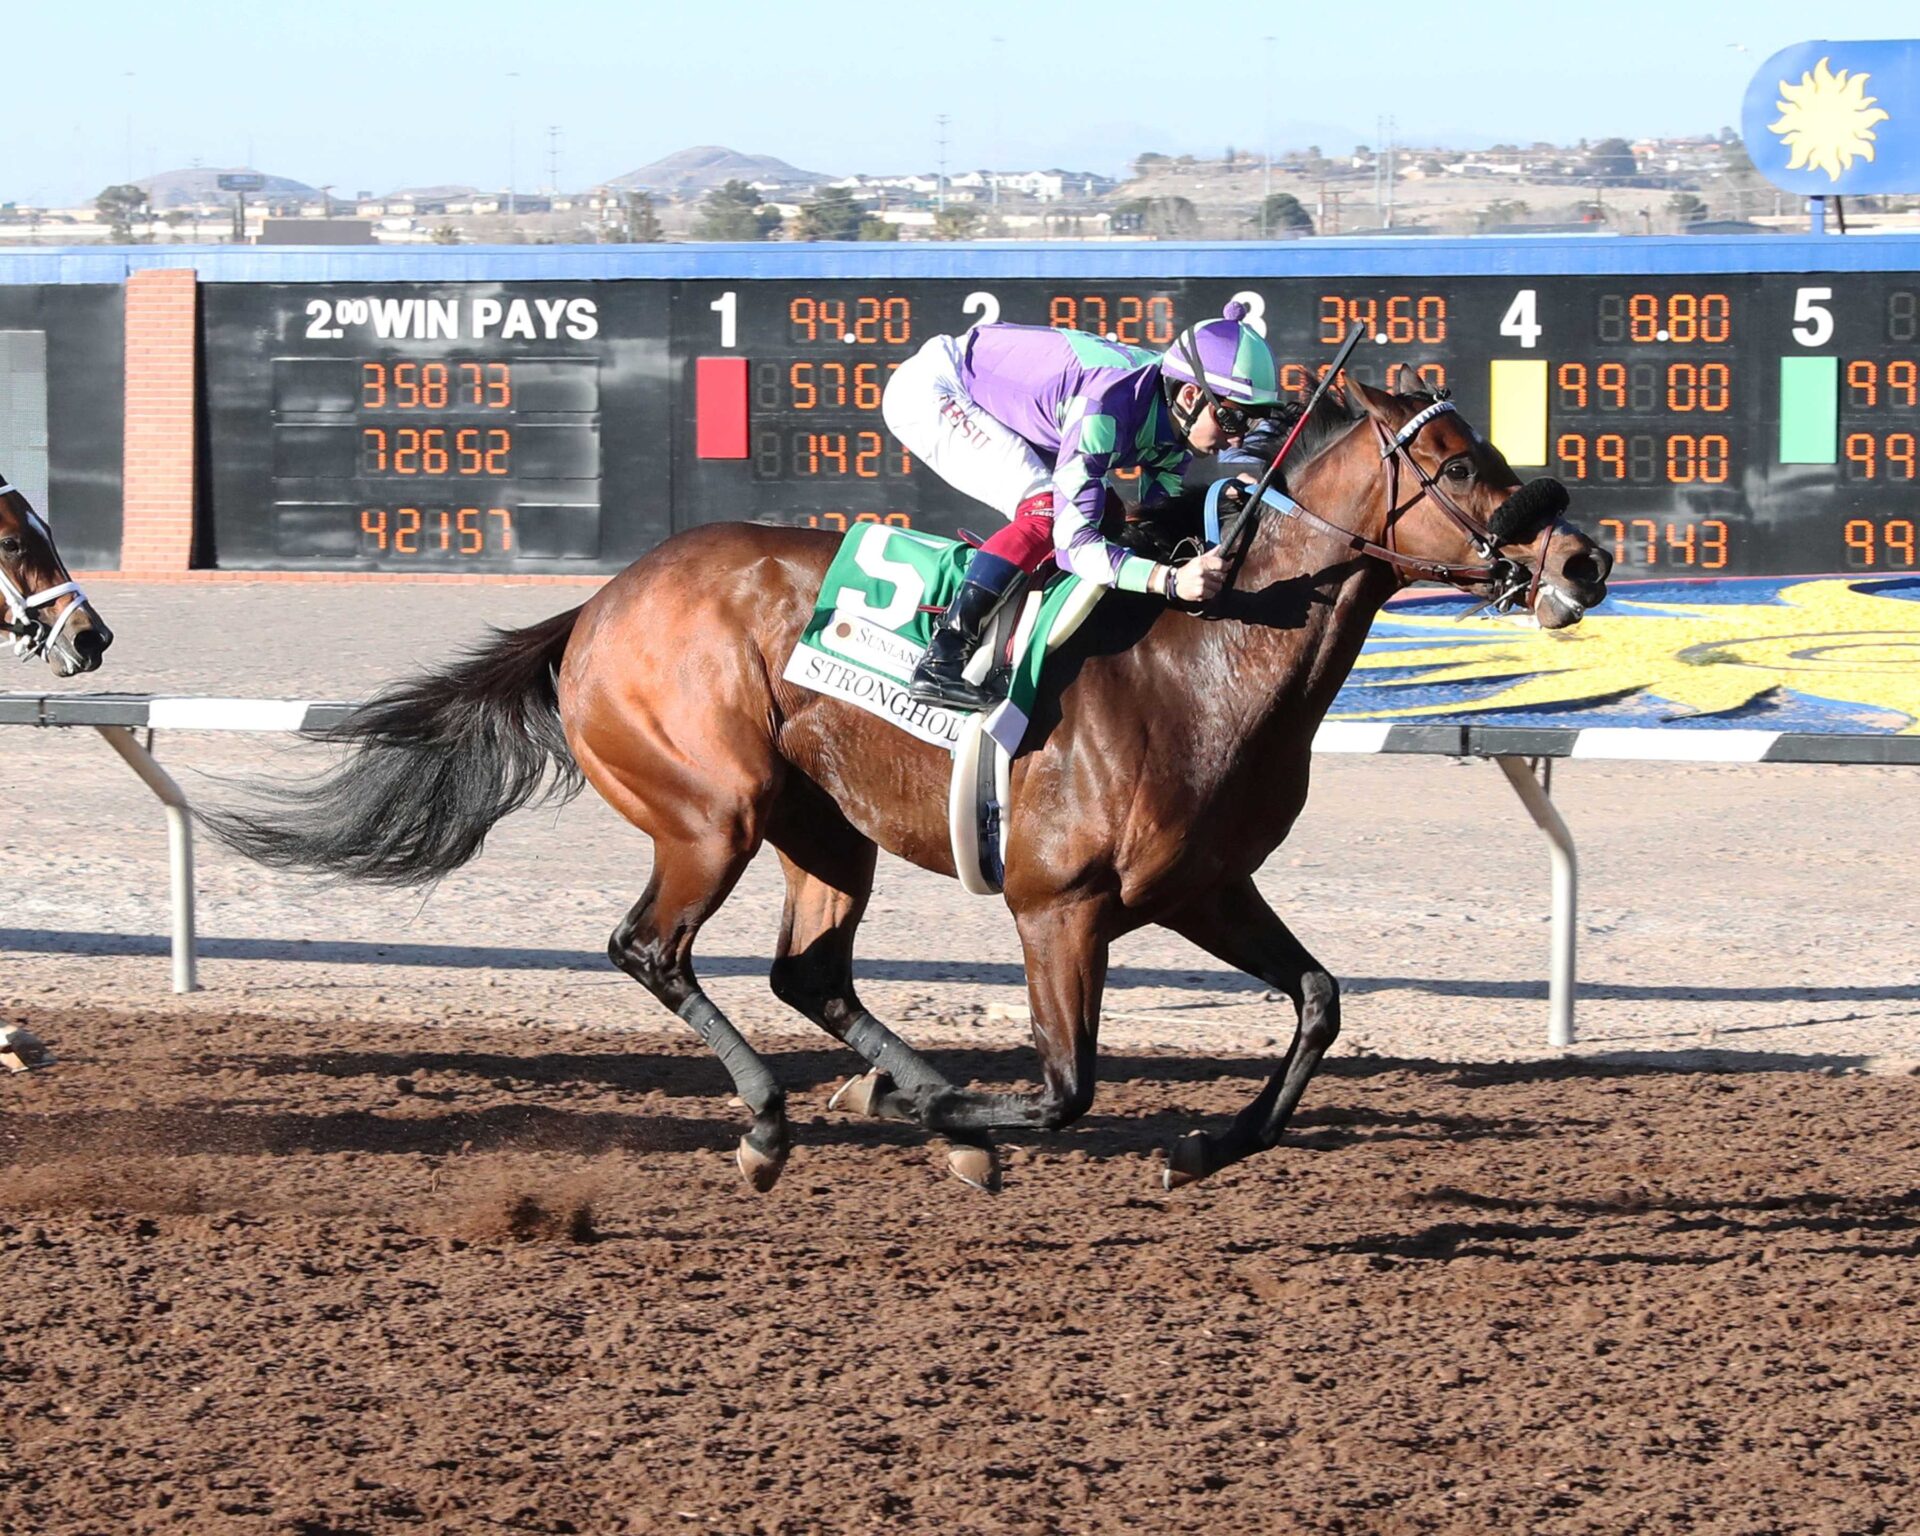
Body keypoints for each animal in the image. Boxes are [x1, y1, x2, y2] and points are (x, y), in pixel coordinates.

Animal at [210, 381, 1611, 1192]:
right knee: (652, 948)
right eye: (1458, 461)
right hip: (710, 811)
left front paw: (1201, 1143)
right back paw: (782, 1120)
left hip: (824, 831)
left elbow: (1319, 1002)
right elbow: (1066, 1089)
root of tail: (597, 606)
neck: (1205, 652)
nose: (1583, 558)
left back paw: (885, 1092)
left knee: (809, 975)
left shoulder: (1203, 887)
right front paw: (959, 1124)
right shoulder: (1060, 907)